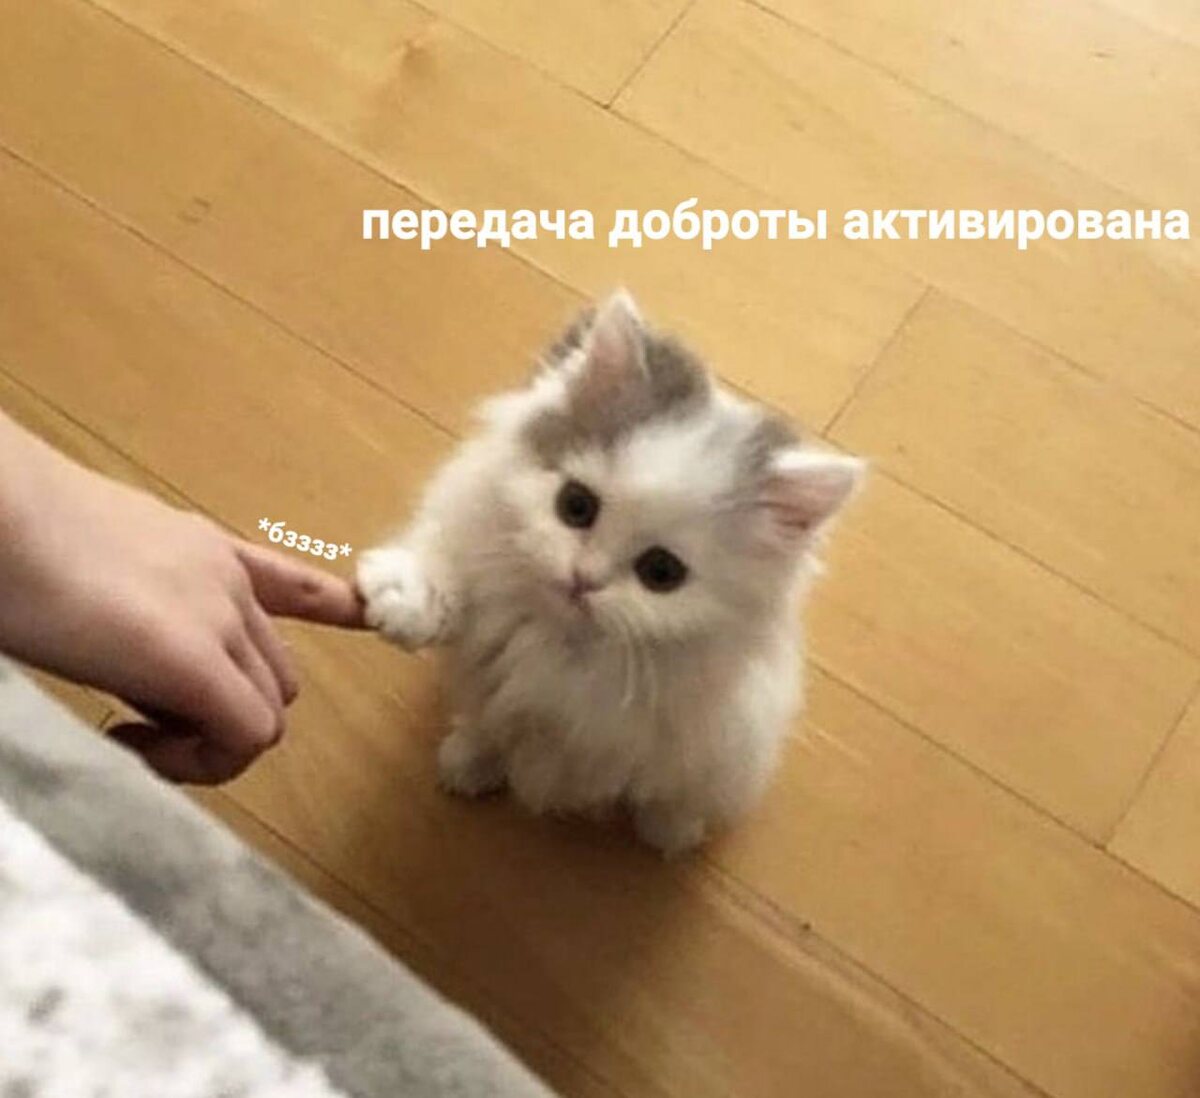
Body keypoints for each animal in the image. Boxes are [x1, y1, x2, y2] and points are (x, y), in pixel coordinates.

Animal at [357, 291, 863, 855]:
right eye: (575, 507)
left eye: (661, 572)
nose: (584, 577)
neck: (564, 641)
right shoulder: (474, 541)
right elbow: (447, 579)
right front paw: (410, 604)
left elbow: (662, 780)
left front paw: (670, 832)